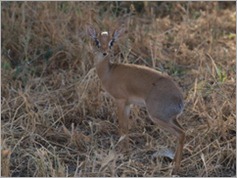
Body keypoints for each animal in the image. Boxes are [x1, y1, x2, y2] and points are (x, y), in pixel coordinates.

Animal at [87, 27, 185, 175]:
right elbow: (126, 127)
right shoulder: (128, 104)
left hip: (157, 117)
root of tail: (179, 99)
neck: (108, 72)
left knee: (181, 133)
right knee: (183, 131)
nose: (105, 52)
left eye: (111, 41)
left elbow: (122, 126)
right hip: (171, 118)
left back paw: (176, 168)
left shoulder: (120, 101)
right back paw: (173, 163)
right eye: (97, 41)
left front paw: (121, 152)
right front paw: (126, 151)